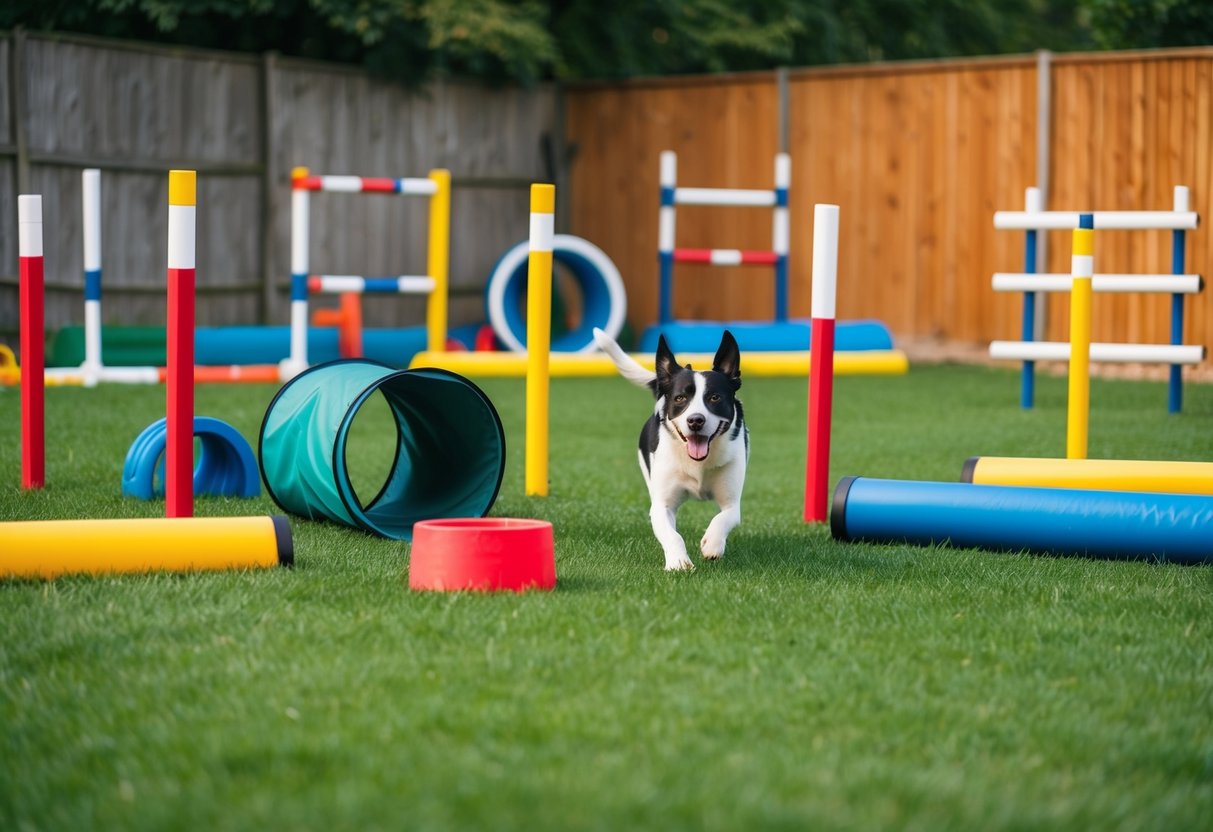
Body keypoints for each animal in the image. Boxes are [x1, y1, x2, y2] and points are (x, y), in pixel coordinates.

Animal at [594, 329, 752, 570]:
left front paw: (712, 544)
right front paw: (678, 561)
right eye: (680, 398)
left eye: (714, 397)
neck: (698, 463)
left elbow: (723, 517)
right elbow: (670, 533)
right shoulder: (661, 505)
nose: (695, 420)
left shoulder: (732, 502)